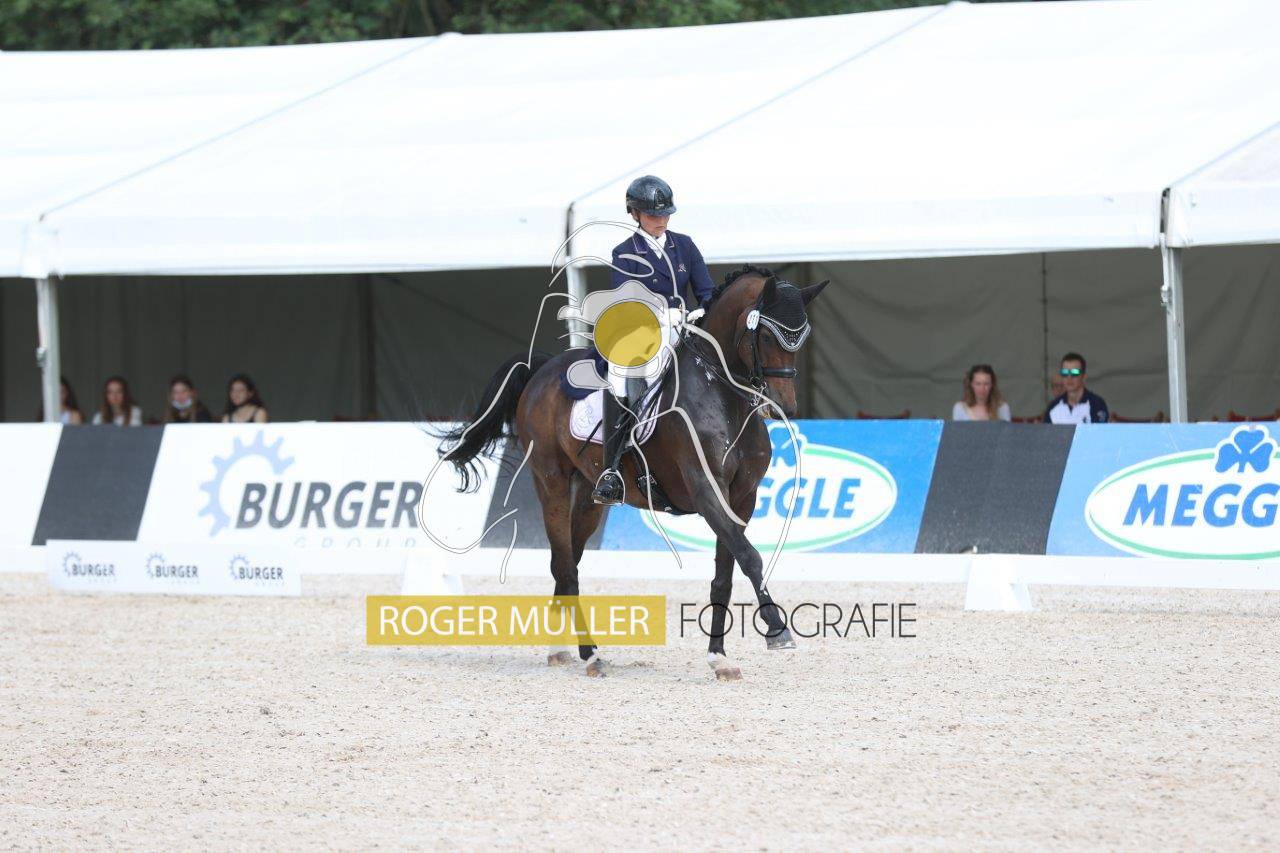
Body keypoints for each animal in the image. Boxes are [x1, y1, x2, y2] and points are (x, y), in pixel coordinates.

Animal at [439, 266, 828, 679]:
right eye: (767, 335)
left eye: (802, 337)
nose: (783, 406)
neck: (721, 394)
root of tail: (543, 369)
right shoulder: (706, 489)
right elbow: (750, 556)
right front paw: (777, 629)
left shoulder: (742, 497)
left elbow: (728, 570)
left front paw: (719, 658)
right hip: (551, 482)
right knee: (565, 564)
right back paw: (590, 655)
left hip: (590, 497)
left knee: (568, 562)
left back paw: (561, 648)